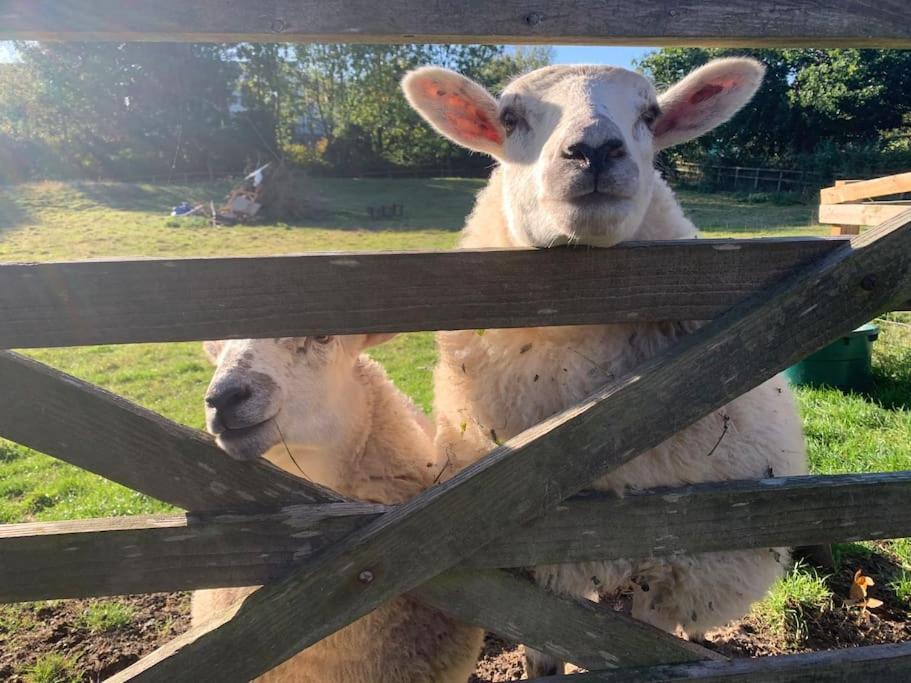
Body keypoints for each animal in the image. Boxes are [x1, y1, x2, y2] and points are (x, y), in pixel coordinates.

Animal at [402, 60, 808, 680]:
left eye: (650, 114)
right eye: (510, 118)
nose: (595, 150)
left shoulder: (673, 552)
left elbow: (651, 641)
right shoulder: (533, 559)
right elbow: (544, 655)